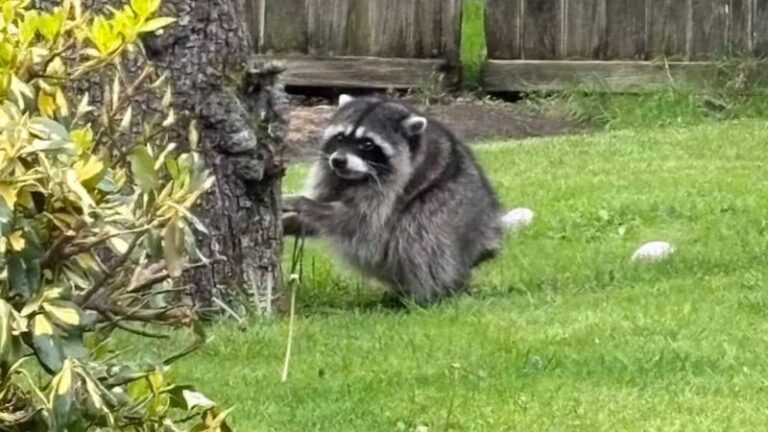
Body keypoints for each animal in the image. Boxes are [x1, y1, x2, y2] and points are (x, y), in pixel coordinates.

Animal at [282, 94, 504, 304]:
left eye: (367, 144)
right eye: (340, 138)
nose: (338, 161)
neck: (356, 178)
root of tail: (487, 239)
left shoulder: (392, 190)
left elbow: (356, 222)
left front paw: (303, 203)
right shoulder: (331, 176)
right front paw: (292, 222)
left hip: (452, 210)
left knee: (421, 229)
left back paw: (429, 294)